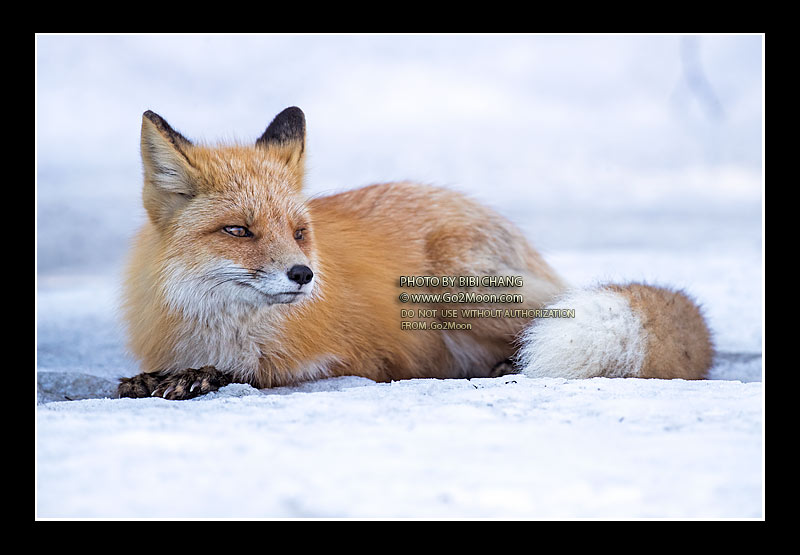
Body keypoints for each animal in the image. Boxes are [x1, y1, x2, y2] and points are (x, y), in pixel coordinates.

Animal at [117, 107, 714, 400]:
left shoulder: (359, 359)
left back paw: (506, 365)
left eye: (298, 231)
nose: (303, 275)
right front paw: (162, 378)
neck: (220, 326)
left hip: (460, 289)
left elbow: (258, 372)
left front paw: (204, 376)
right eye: (239, 230)